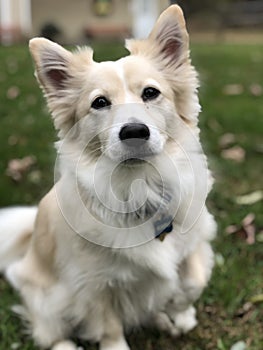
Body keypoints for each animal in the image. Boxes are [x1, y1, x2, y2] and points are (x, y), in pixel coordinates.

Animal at [0, 6, 217, 350]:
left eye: (151, 93)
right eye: (100, 102)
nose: (134, 131)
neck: (138, 185)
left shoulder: (195, 240)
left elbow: (193, 281)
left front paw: (179, 312)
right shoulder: (93, 284)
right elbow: (109, 326)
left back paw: (162, 319)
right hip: (45, 300)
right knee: (49, 333)